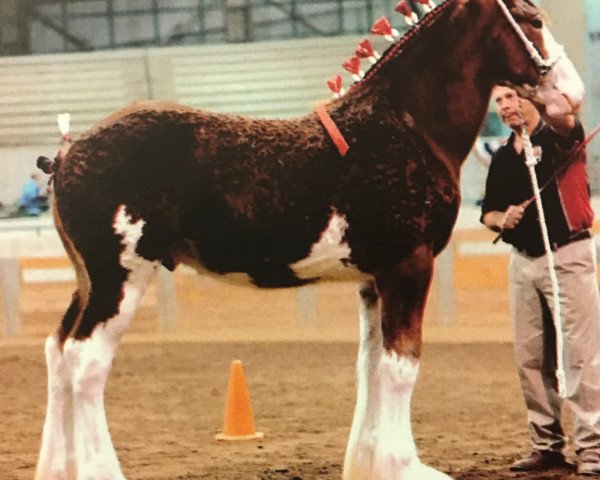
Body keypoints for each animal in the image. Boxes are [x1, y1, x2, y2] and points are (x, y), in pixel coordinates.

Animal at [35, 0, 584, 480]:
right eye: (533, 20)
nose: (573, 97)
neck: (407, 126)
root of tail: (67, 155)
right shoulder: (410, 266)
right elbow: (402, 366)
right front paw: (405, 467)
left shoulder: (373, 280)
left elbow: (371, 366)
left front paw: (368, 464)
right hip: (121, 279)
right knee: (85, 364)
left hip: (87, 283)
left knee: (57, 353)